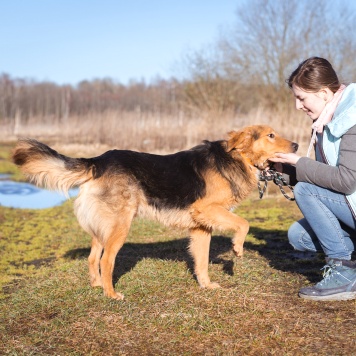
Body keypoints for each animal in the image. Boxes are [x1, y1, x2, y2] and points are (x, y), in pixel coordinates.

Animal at [12, 125, 298, 300]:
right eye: (271, 135)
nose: (296, 145)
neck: (236, 157)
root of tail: (99, 160)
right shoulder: (207, 209)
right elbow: (244, 223)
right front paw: (237, 248)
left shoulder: (201, 226)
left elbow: (202, 261)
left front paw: (205, 286)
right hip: (120, 226)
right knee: (106, 261)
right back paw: (111, 294)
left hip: (103, 227)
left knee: (93, 259)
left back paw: (97, 286)